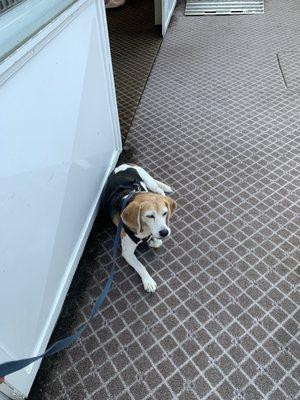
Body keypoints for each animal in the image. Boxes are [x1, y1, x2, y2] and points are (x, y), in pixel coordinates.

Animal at [102, 164, 176, 292]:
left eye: (165, 213)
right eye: (150, 216)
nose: (164, 232)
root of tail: (123, 164)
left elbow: (158, 242)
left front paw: (152, 241)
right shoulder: (127, 252)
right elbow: (140, 266)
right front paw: (148, 281)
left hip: (148, 181)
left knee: (158, 190)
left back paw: (163, 193)